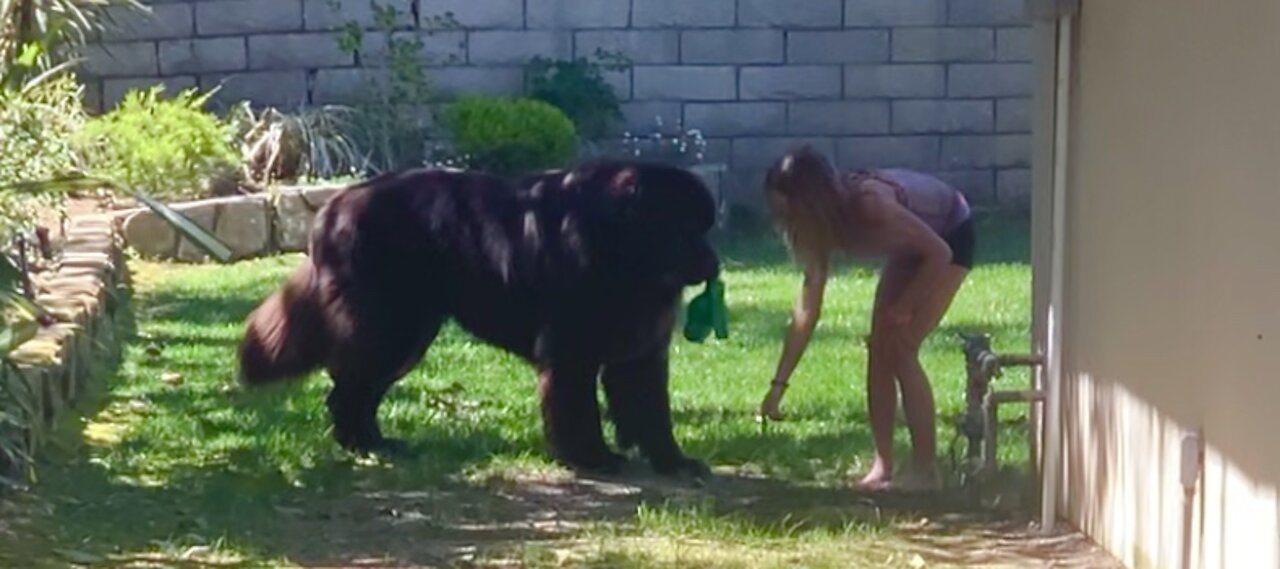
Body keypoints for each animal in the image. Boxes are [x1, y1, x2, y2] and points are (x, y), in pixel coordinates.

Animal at [240, 158, 721, 475]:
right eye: (682, 227)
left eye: (706, 227)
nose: (712, 263)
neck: (619, 249)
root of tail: (333, 205)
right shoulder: (570, 353)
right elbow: (578, 410)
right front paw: (593, 459)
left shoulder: (641, 352)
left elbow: (651, 410)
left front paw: (673, 461)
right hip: (390, 330)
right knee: (347, 390)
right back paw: (363, 446)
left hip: (408, 335)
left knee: (360, 392)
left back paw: (378, 443)